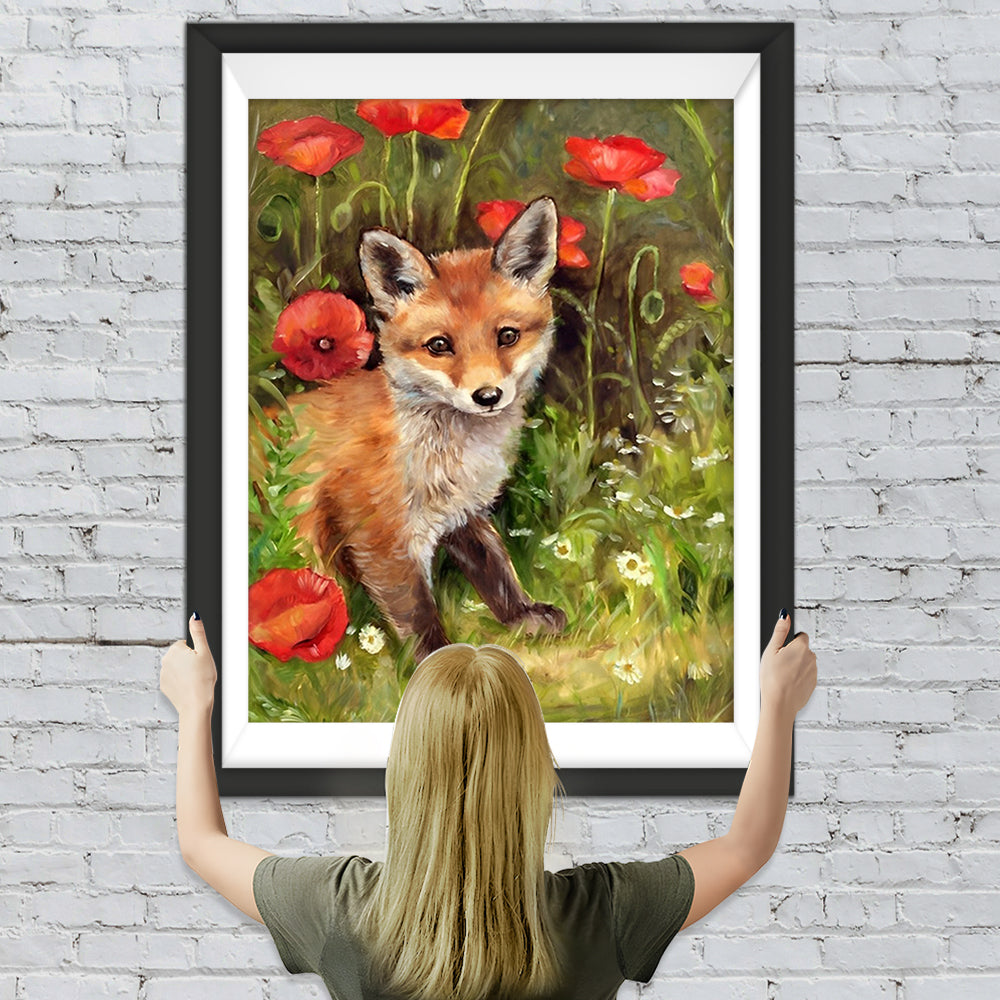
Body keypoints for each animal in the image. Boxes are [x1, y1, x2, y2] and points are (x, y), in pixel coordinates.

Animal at [263, 197, 568, 661]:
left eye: (507, 336)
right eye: (439, 345)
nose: (487, 395)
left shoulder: (464, 513)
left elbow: (495, 567)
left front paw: (522, 614)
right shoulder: (379, 534)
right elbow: (417, 609)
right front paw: (436, 660)